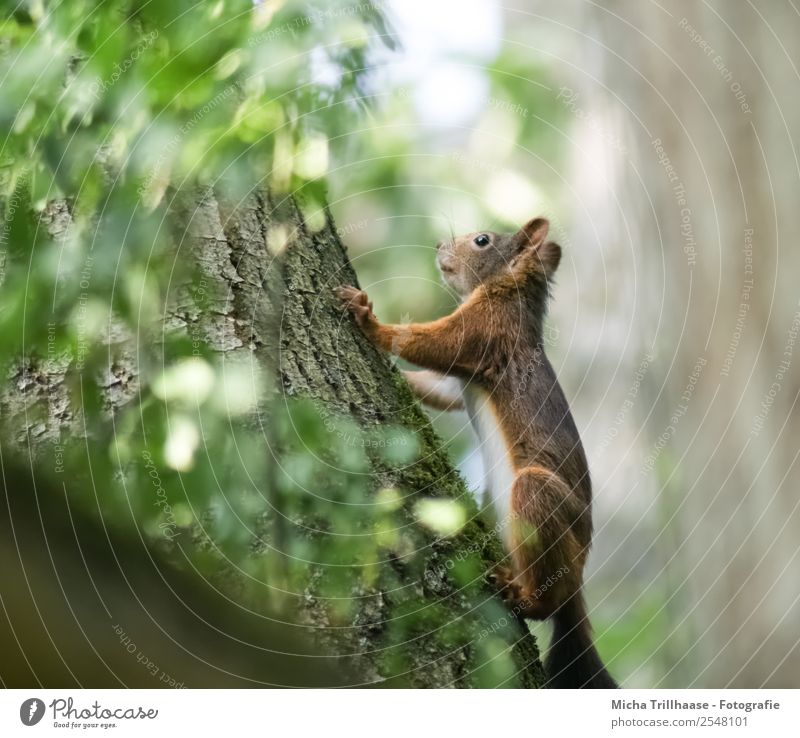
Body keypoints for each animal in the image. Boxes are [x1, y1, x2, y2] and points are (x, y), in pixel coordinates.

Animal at [334, 216, 616, 688]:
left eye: (482, 240)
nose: (437, 245)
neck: (509, 292)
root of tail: (578, 581)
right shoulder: (460, 377)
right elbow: (442, 390)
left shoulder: (487, 331)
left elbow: (436, 344)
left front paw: (369, 320)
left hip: (539, 502)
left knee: (548, 597)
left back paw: (522, 597)